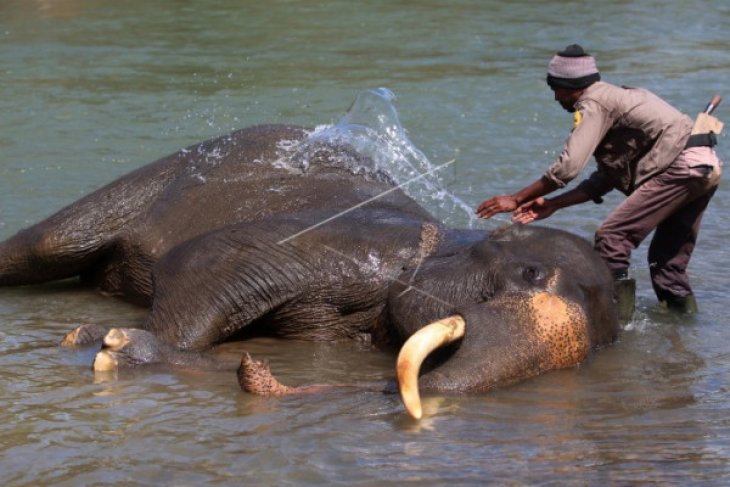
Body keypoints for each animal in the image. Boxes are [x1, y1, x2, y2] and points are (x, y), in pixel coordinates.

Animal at [0, 105, 616, 418]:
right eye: (530, 274)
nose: (254, 372)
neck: (446, 237)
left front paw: (103, 341)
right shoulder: (349, 248)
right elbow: (200, 259)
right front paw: (104, 343)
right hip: (139, 184)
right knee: (43, 245)